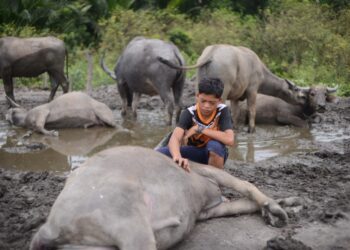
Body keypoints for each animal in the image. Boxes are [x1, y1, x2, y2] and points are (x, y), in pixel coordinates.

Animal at [159, 44, 304, 133]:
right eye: (297, 90)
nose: (302, 101)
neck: (261, 71)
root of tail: (210, 55)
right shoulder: (252, 90)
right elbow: (251, 110)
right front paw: (251, 129)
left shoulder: (235, 97)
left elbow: (235, 113)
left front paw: (234, 128)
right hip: (222, 92)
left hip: (199, 89)